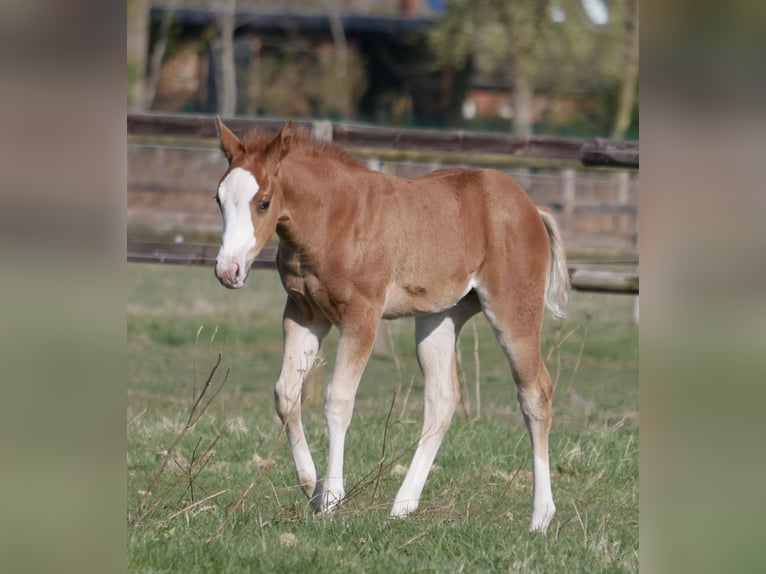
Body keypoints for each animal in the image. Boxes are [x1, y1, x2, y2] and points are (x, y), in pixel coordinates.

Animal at [212, 117, 569, 532]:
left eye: (264, 202)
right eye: (218, 199)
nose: (228, 271)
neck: (332, 218)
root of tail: (531, 208)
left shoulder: (361, 315)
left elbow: (338, 399)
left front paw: (332, 498)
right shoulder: (304, 313)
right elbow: (286, 394)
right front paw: (311, 487)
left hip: (512, 311)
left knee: (535, 393)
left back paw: (540, 516)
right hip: (438, 319)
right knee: (442, 399)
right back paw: (403, 504)